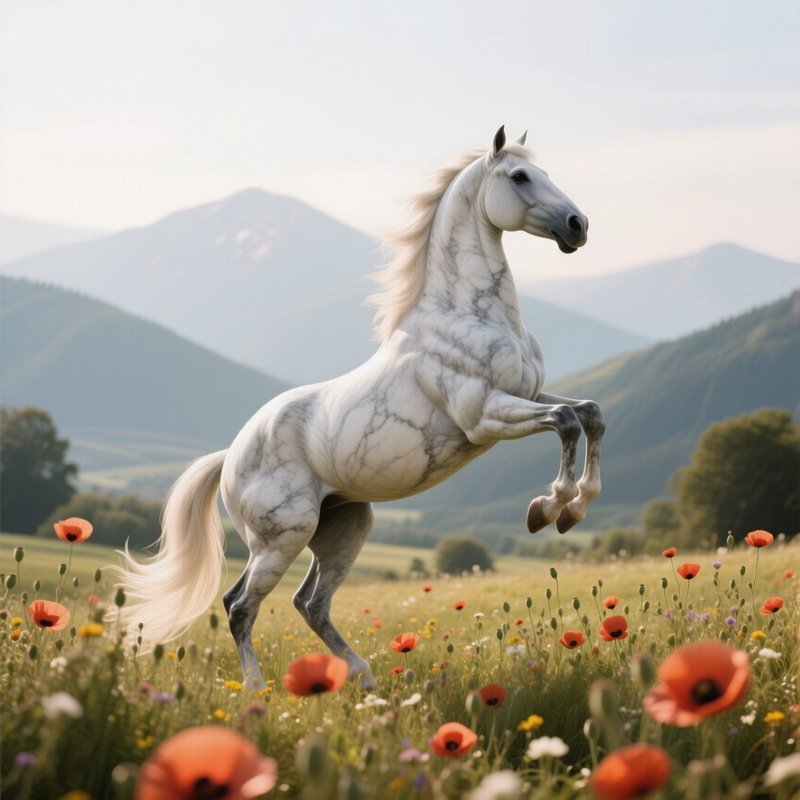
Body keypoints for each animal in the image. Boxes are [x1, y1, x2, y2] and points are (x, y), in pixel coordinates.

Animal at [113, 126, 605, 690]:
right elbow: (565, 423)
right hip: (281, 537)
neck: (467, 315)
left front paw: (573, 510)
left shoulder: (529, 394)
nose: (579, 225)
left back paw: (364, 680)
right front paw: (546, 509)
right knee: (241, 605)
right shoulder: (484, 416)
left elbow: (589, 412)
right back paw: (258, 690)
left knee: (309, 603)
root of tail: (231, 455)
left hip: (342, 530)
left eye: (546, 173)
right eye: (520, 177)